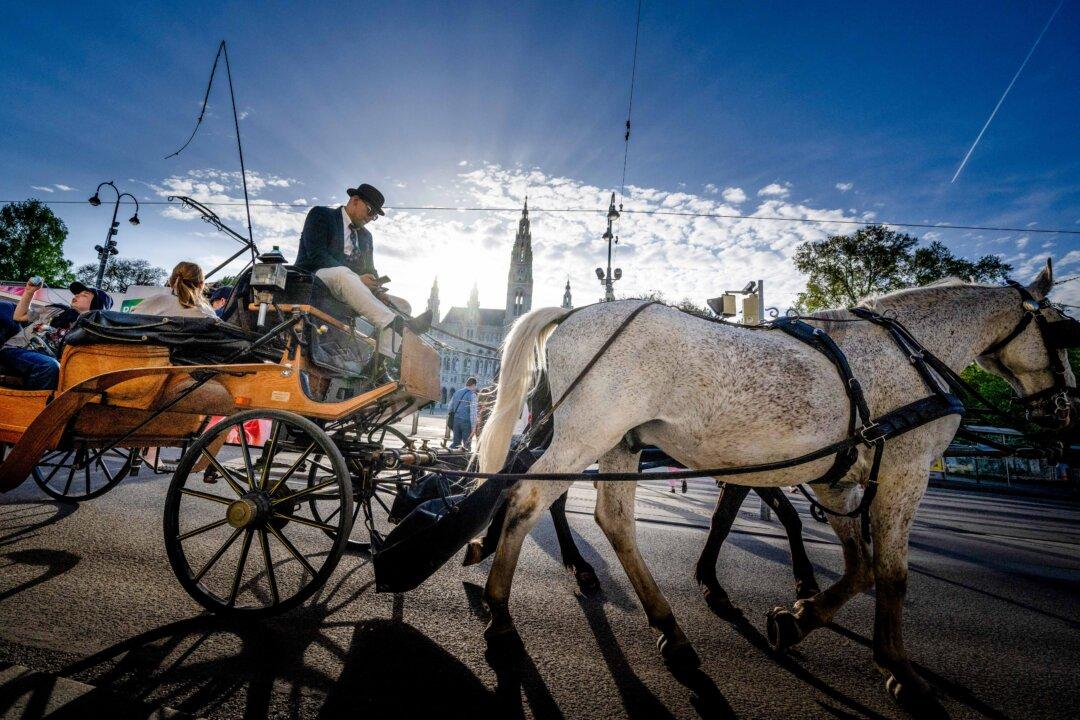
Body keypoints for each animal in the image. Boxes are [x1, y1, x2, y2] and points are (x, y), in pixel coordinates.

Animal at [474, 261, 1073, 711]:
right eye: (1063, 330)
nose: (1064, 408)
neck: (910, 352)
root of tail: (574, 310)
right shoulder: (906, 471)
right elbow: (891, 573)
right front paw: (899, 668)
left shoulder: (835, 477)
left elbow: (857, 564)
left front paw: (799, 616)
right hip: (588, 433)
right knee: (529, 497)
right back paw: (501, 614)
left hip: (620, 441)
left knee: (611, 520)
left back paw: (670, 630)